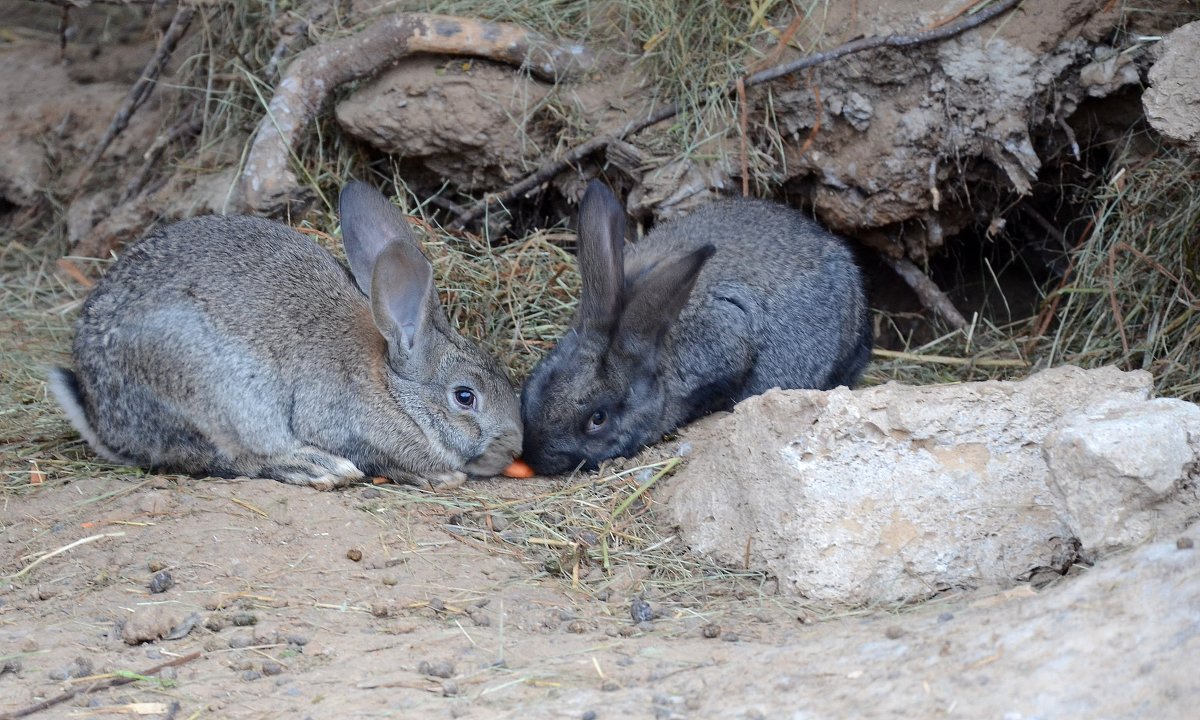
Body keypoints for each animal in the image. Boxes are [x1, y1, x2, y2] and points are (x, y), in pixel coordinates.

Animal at [51, 182, 523, 492]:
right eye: (465, 397)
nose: (515, 447)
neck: (392, 388)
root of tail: (102, 416)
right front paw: (441, 474)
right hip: (215, 392)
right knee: (232, 458)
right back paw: (319, 469)